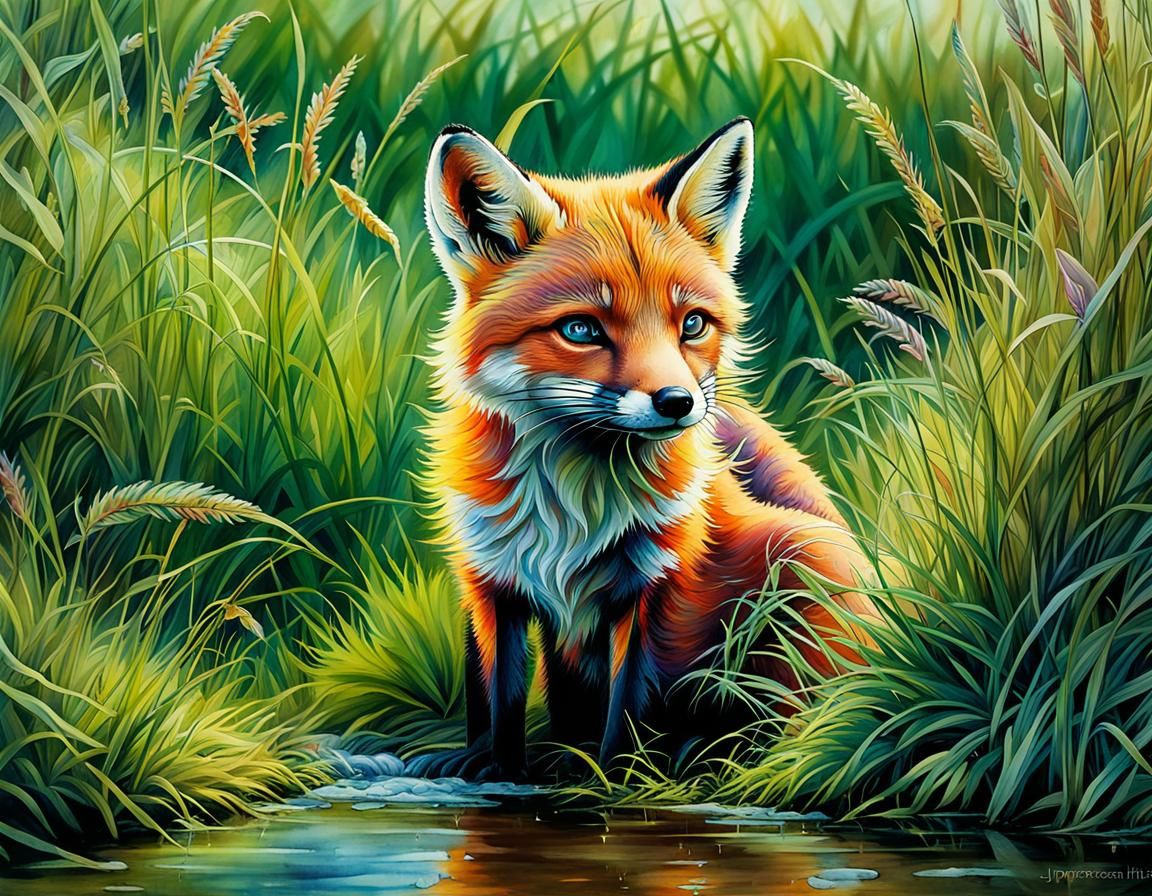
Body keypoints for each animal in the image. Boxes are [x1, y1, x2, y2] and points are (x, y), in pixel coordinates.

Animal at [423, 118, 874, 779]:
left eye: (692, 324)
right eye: (581, 329)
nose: (678, 402)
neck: (573, 508)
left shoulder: (656, 585)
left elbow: (630, 710)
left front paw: (614, 783)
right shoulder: (488, 580)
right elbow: (495, 698)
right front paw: (493, 770)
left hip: (807, 554)